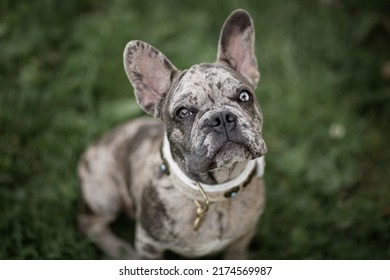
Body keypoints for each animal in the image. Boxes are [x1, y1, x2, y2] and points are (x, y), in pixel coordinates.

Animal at [79, 9, 268, 260]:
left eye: (245, 96)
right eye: (183, 112)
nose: (221, 118)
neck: (214, 193)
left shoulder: (240, 242)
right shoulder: (149, 246)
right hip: (105, 194)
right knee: (89, 222)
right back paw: (119, 249)